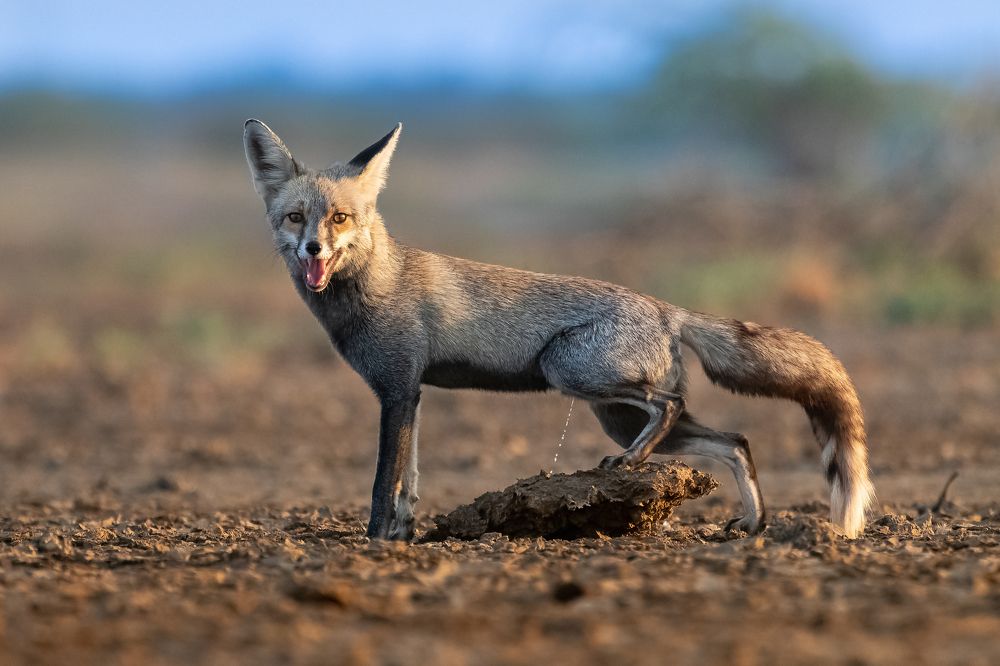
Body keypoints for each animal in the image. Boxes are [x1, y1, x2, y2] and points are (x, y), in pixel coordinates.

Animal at [242, 120, 875, 541]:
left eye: (340, 218)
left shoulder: (397, 390)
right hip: (616, 416)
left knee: (670, 405)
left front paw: (376, 542)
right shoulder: (411, 393)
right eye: (296, 217)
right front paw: (404, 533)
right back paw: (752, 523)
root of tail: (667, 308)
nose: (312, 249)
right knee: (736, 441)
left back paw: (634, 468)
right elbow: (409, 480)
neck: (377, 283)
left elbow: (383, 482)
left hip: (574, 375)